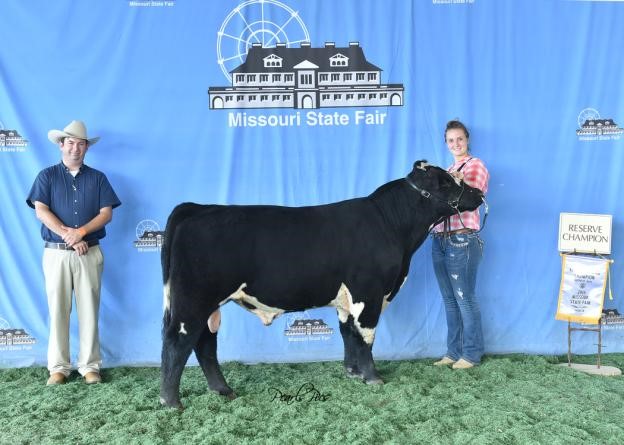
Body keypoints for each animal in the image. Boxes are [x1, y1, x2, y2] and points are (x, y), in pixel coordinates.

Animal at [158, 160, 486, 406]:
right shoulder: (368, 291)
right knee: (178, 341)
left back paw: (223, 391)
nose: (480, 194)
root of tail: (198, 207)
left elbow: (348, 333)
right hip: (193, 299)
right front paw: (373, 378)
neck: (393, 228)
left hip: (207, 303)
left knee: (204, 343)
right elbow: (366, 335)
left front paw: (352, 372)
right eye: (446, 182)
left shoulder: (346, 299)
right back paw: (171, 401)